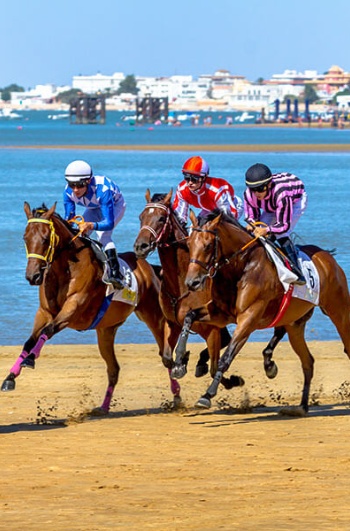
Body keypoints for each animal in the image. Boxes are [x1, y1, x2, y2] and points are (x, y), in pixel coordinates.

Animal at [2, 202, 183, 414]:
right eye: (25, 237)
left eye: (46, 239)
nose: (33, 276)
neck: (65, 268)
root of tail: (150, 269)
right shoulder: (44, 313)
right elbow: (29, 342)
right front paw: (10, 378)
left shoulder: (73, 308)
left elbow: (48, 330)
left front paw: (30, 360)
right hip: (106, 330)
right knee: (114, 369)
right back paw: (103, 407)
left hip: (153, 316)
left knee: (165, 354)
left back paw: (177, 396)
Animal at [133, 191, 282, 390]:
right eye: (141, 217)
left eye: (161, 218)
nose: (140, 246)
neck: (180, 284)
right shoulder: (172, 323)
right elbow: (166, 357)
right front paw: (181, 363)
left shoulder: (212, 329)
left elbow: (214, 366)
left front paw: (231, 380)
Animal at [176, 209, 350, 416]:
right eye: (188, 244)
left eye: (209, 245)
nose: (191, 282)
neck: (241, 267)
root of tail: (327, 257)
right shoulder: (220, 314)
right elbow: (189, 317)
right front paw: (178, 362)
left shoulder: (248, 319)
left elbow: (226, 357)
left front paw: (207, 395)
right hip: (295, 324)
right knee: (308, 361)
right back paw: (301, 406)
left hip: (339, 311)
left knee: (346, 346)